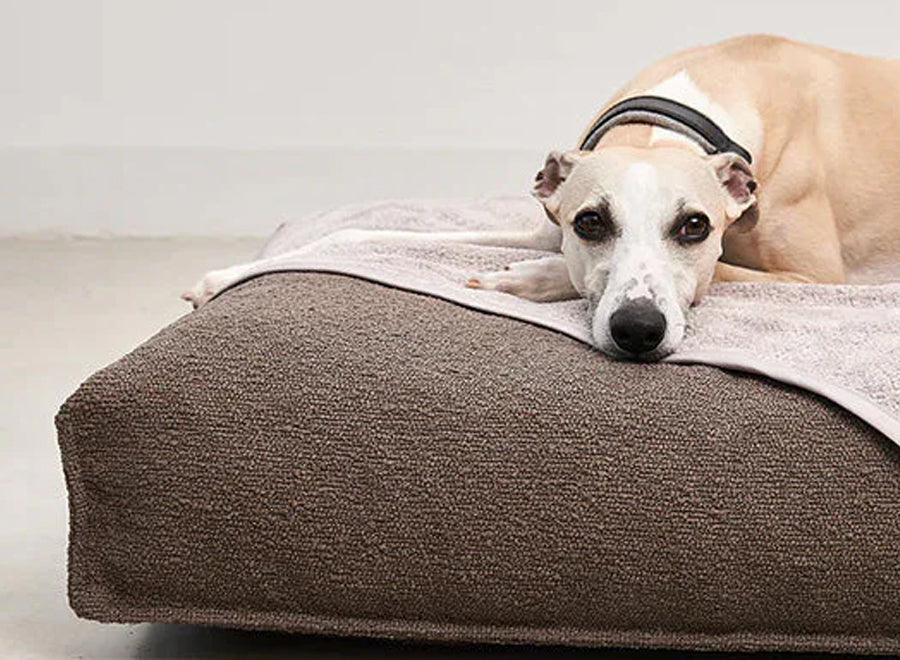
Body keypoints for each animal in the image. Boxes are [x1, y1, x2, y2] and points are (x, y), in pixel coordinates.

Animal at [183, 36, 900, 360]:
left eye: (695, 227)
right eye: (590, 221)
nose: (638, 331)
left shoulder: (816, 278)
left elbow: (724, 270)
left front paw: (525, 279)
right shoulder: (546, 221)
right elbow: (356, 233)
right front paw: (225, 276)